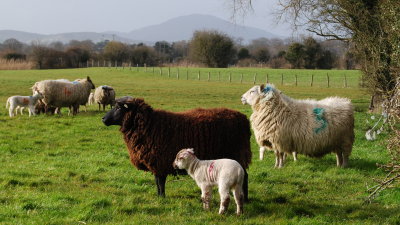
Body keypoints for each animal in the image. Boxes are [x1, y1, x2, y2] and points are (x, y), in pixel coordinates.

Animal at [101, 96, 252, 200]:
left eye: (119, 108)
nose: (103, 119)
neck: (148, 125)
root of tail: (243, 119)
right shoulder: (157, 163)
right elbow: (157, 182)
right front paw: (159, 196)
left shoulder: (159, 161)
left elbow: (160, 182)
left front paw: (162, 198)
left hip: (238, 154)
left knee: (245, 176)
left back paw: (245, 199)